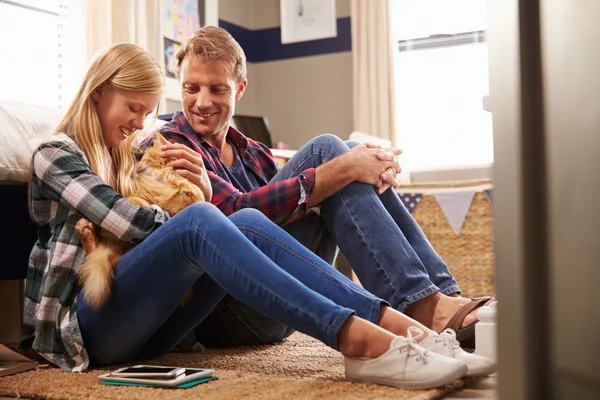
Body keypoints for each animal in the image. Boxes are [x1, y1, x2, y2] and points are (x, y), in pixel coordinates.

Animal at [75, 131, 204, 310]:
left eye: (145, 158)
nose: (135, 167)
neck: (167, 179)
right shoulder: (139, 197)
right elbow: (141, 202)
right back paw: (85, 230)